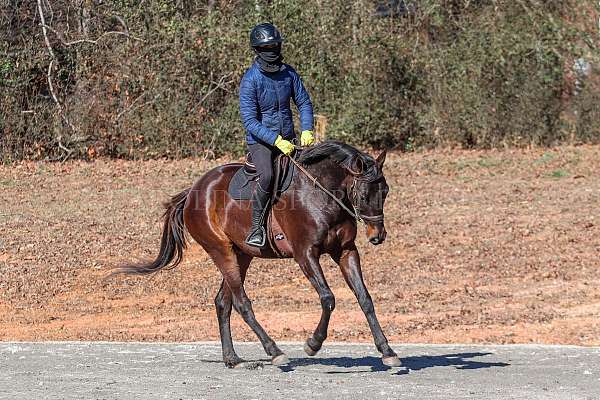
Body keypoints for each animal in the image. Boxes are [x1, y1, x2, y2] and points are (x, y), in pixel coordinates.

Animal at [118, 141, 400, 368]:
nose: (377, 235)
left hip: (242, 255)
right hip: (221, 251)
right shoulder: (305, 254)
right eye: (363, 193)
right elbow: (328, 298)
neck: (321, 193)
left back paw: (233, 359)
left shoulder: (345, 251)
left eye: (385, 191)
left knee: (223, 302)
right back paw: (274, 351)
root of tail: (194, 191)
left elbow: (365, 299)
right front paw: (313, 343)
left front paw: (387, 351)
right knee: (242, 303)